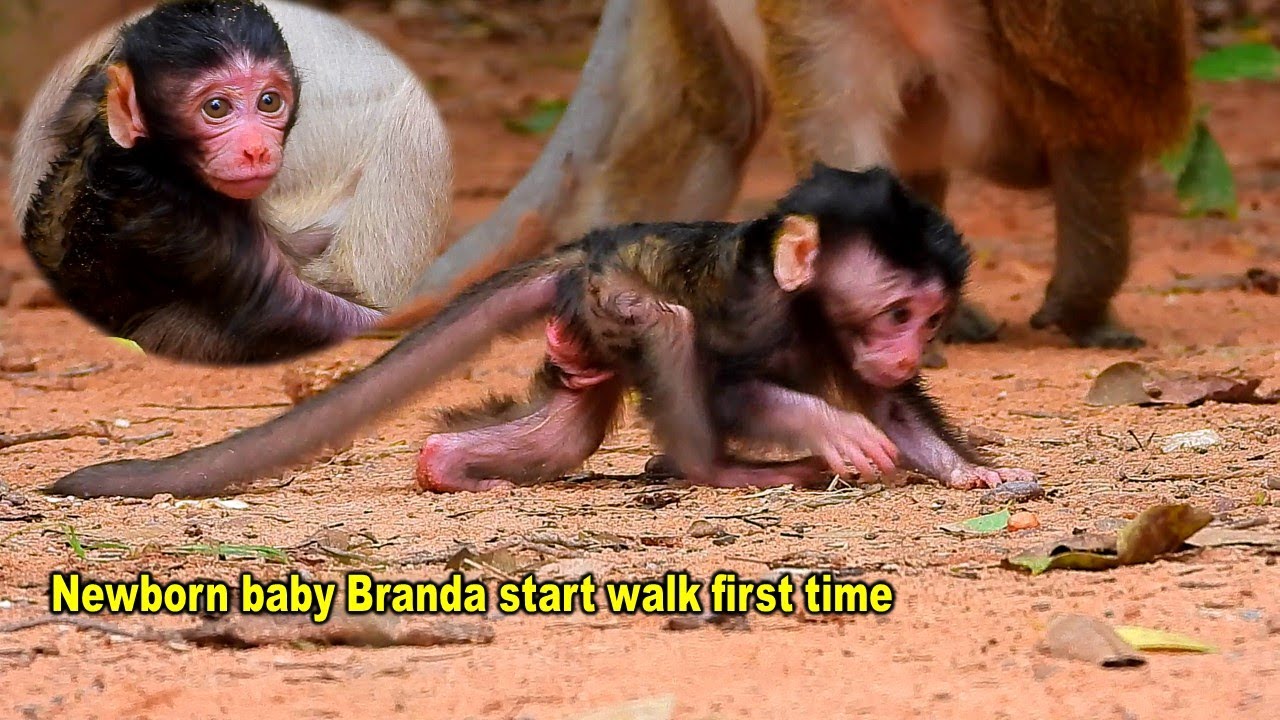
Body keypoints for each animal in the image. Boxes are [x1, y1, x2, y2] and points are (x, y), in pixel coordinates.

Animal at [45, 165, 1035, 500]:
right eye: (899, 312)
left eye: (929, 315)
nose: (910, 346)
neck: (808, 308)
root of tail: (582, 251)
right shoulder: (758, 306)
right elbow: (731, 383)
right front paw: (837, 429)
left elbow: (895, 409)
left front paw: (969, 469)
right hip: (610, 300)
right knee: (667, 327)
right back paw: (717, 470)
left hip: (583, 331)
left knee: (562, 428)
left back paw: (448, 463)